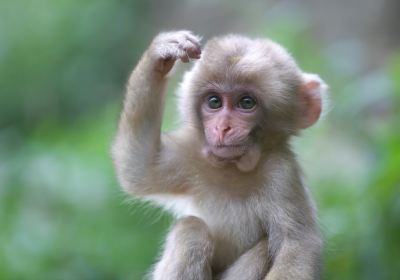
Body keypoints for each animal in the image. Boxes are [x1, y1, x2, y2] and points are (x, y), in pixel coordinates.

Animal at [112, 30, 328, 280]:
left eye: (247, 102)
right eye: (214, 101)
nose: (223, 127)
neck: (233, 168)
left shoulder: (281, 174)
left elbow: (296, 245)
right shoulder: (193, 153)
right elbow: (140, 168)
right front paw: (160, 54)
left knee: (263, 249)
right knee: (191, 230)